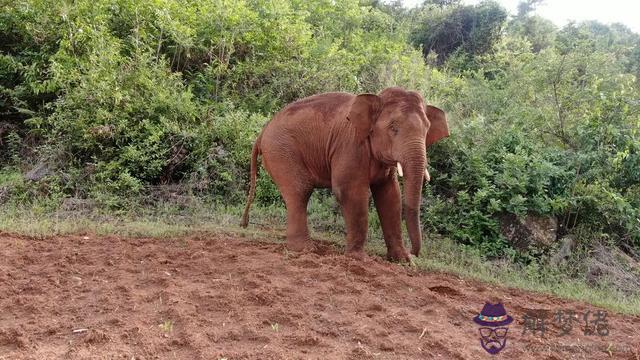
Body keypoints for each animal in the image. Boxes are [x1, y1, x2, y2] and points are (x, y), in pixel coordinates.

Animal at [240, 87, 450, 262]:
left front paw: (403, 261)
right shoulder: (350, 146)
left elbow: (390, 196)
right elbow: (350, 192)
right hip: (281, 151)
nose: (414, 253)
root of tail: (262, 132)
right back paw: (305, 249)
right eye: (393, 128)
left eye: (426, 130)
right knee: (300, 191)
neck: (375, 99)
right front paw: (359, 259)